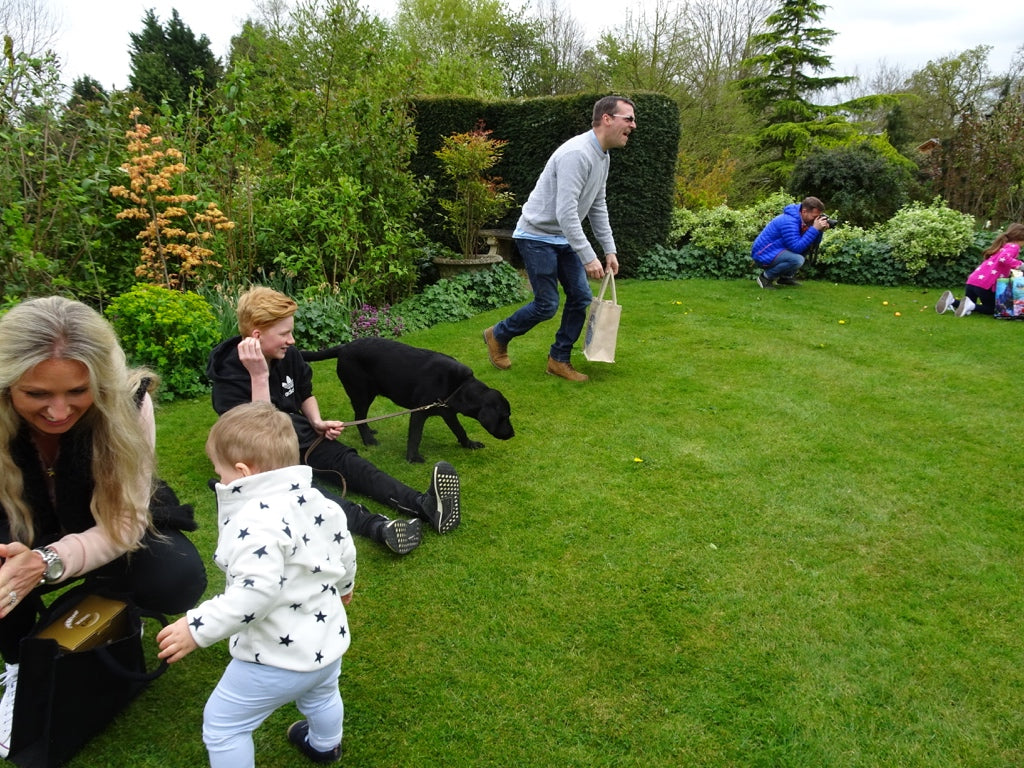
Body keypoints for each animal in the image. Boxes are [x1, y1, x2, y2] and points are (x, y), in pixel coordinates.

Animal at [299, 342, 516, 462]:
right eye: (504, 416)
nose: (512, 434)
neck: (458, 386)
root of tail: (344, 347)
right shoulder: (418, 412)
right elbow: (415, 436)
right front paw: (413, 458)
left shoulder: (447, 412)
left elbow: (459, 430)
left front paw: (469, 444)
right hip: (361, 393)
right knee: (359, 417)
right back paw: (369, 440)